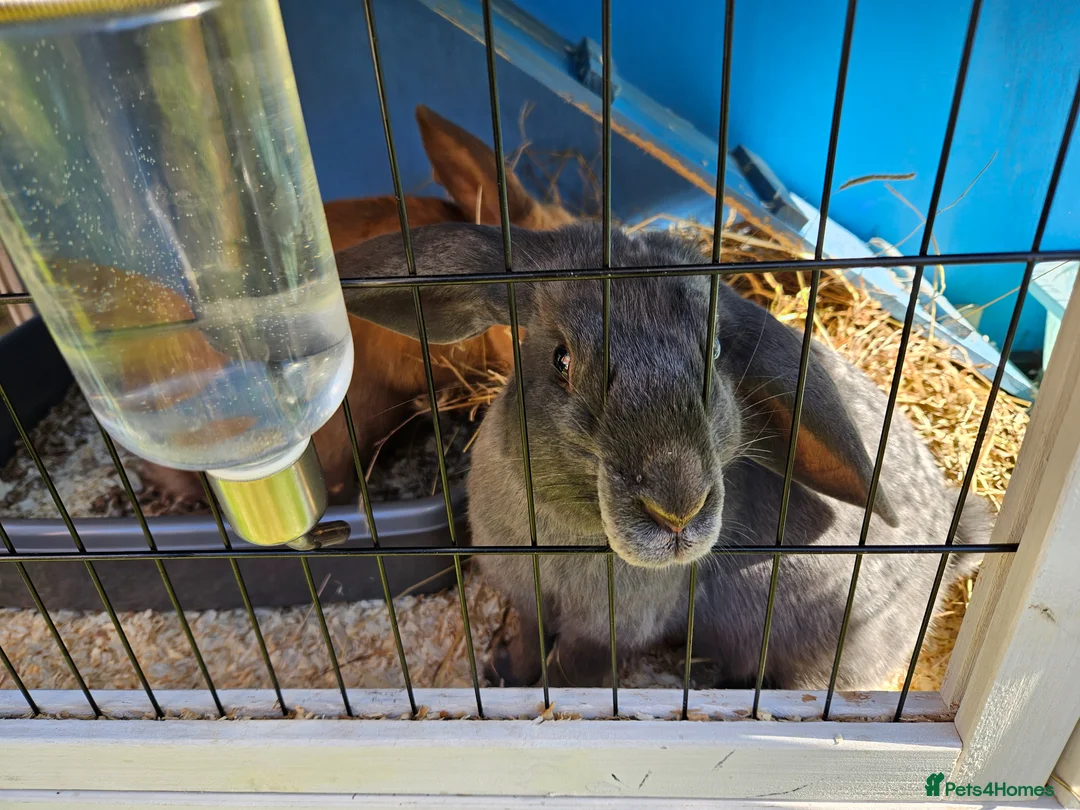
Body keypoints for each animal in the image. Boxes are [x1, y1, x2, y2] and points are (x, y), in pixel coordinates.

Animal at [336, 220, 991, 691]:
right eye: (561, 360)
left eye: (718, 353)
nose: (677, 508)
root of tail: (956, 543)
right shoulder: (528, 601)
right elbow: (526, 641)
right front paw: (504, 675)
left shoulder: (604, 631)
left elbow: (573, 670)